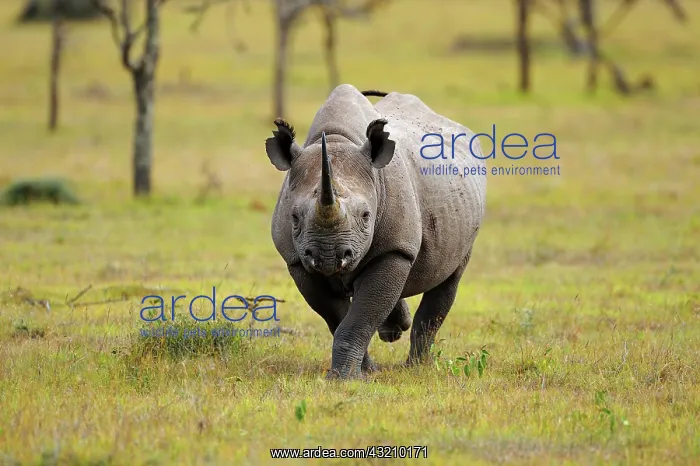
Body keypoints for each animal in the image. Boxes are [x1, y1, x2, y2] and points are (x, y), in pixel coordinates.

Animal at [265, 84, 486, 379]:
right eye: (294, 217)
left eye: (366, 216)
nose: (328, 257)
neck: (337, 140)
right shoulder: (297, 260)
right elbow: (338, 318)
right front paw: (361, 373)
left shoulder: (394, 250)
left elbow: (359, 317)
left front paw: (346, 378)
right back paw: (394, 330)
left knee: (449, 278)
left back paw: (417, 367)